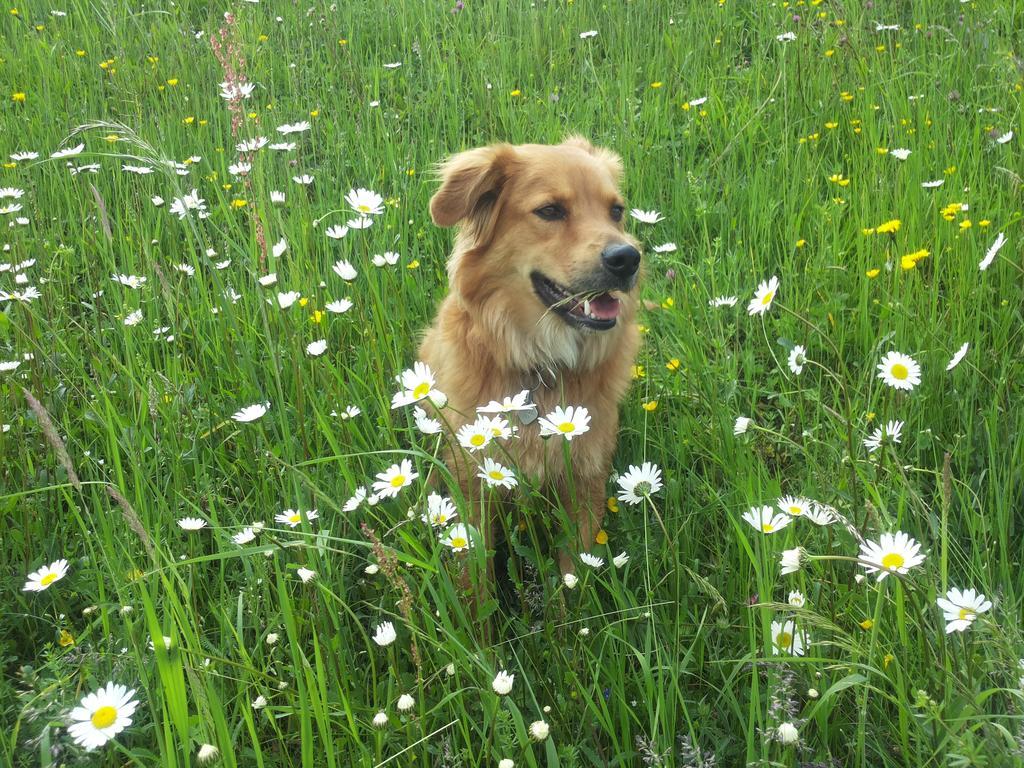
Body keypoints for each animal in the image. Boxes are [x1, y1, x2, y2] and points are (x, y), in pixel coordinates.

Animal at [415, 135, 638, 577]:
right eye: (550, 211)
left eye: (616, 211)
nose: (627, 258)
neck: (542, 367)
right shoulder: (474, 480)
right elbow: (474, 573)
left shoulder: (586, 479)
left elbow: (573, 574)